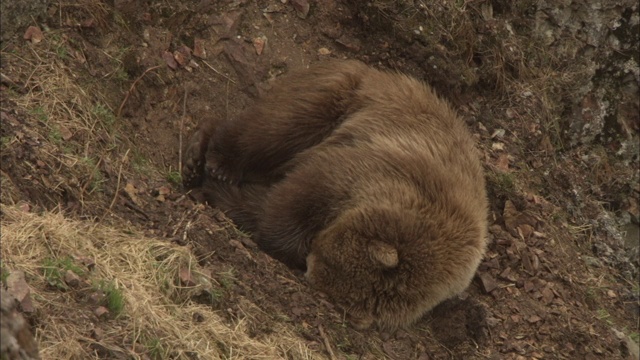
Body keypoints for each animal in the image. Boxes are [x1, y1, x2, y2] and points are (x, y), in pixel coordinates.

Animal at [182, 59, 488, 330]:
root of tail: (380, 72)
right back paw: (214, 162)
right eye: (330, 260)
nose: (308, 265)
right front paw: (223, 193)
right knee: (275, 127)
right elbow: (298, 197)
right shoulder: (375, 167)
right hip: (342, 98)